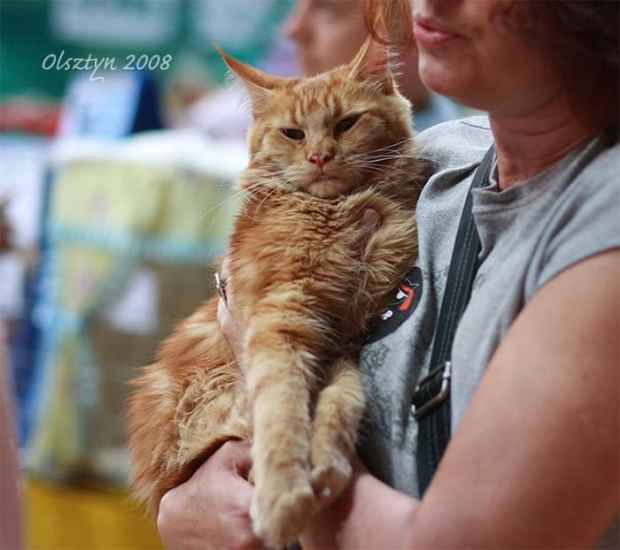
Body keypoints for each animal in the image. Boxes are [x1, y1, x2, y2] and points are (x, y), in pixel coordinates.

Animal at [128, 38, 424, 548]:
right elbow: (283, 409)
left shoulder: (343, 340)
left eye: (346, 123)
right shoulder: (284, 314)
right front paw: (285, 495)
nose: (321, 156)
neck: (340, 209)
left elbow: (342, 399)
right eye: (292, 134)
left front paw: (326, 466)